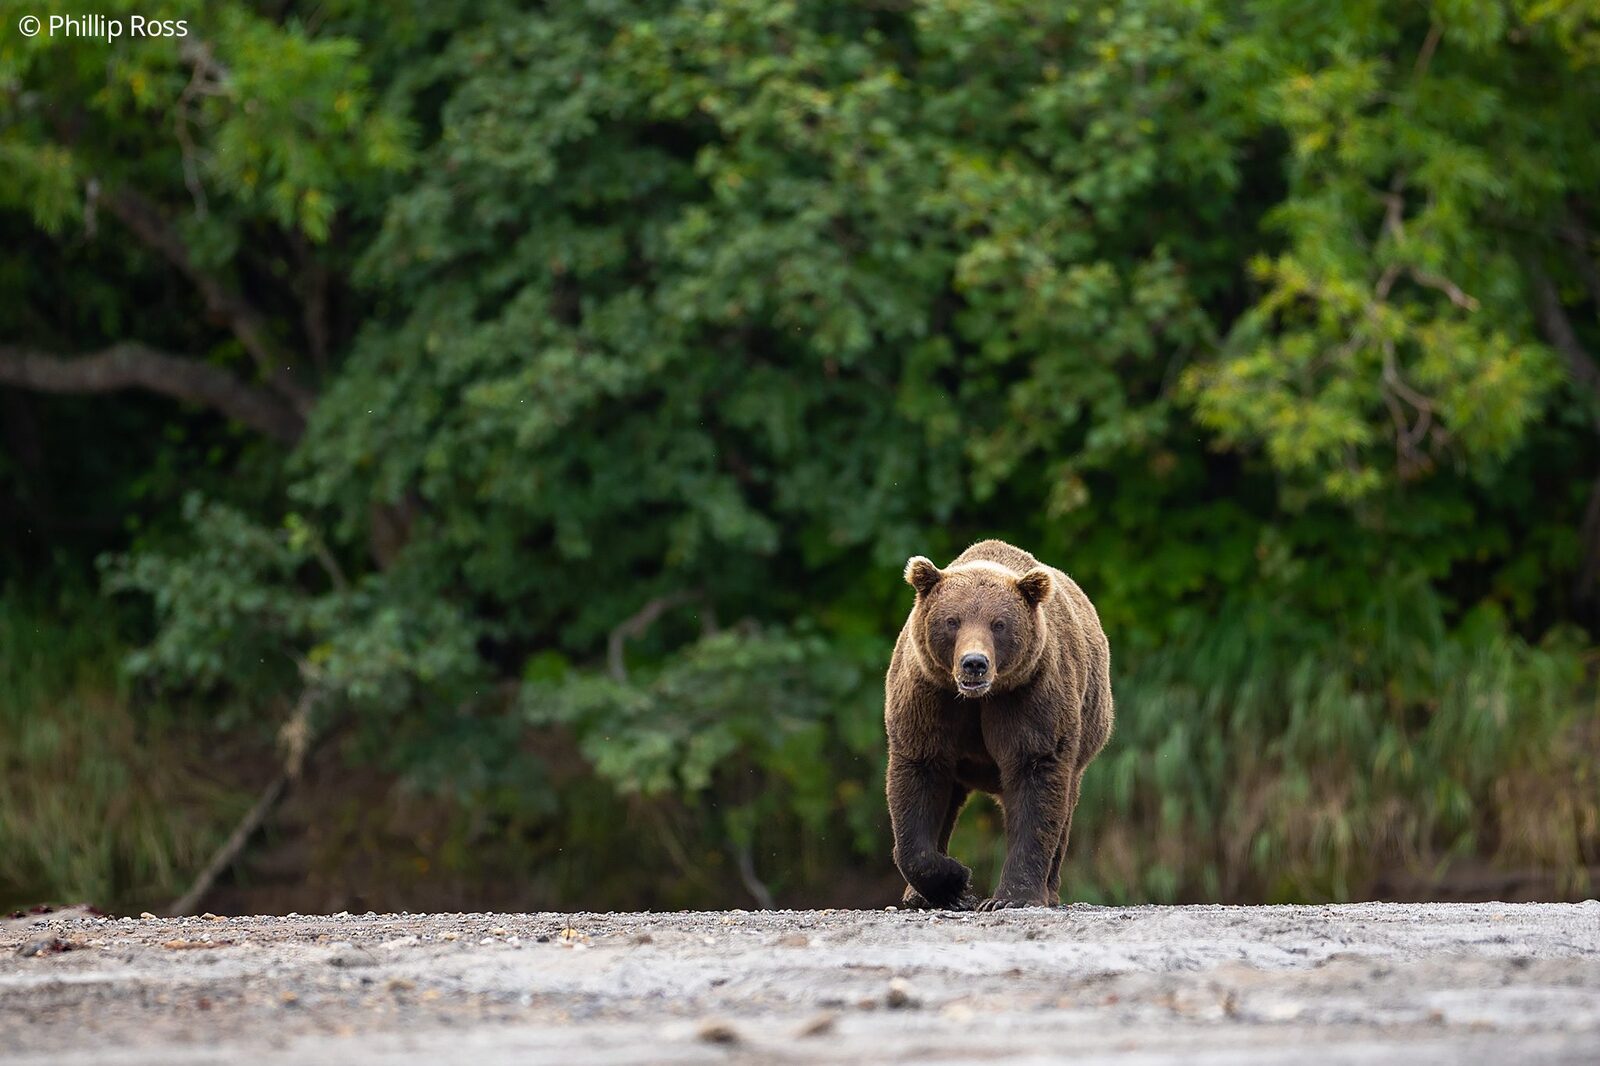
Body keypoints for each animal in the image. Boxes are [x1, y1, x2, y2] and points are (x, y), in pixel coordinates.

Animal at [884, 538, 1113, 911]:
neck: (979, 699)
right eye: (952, 621)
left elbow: (1035, 780)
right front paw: (955, 881)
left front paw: (1009, 898)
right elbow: (918, 779)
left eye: (999, 624)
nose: (974, 663)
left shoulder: (1028, 697)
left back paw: (1049, 890)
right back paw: (917, 895)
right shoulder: (930, 697)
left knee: (1064, 808)